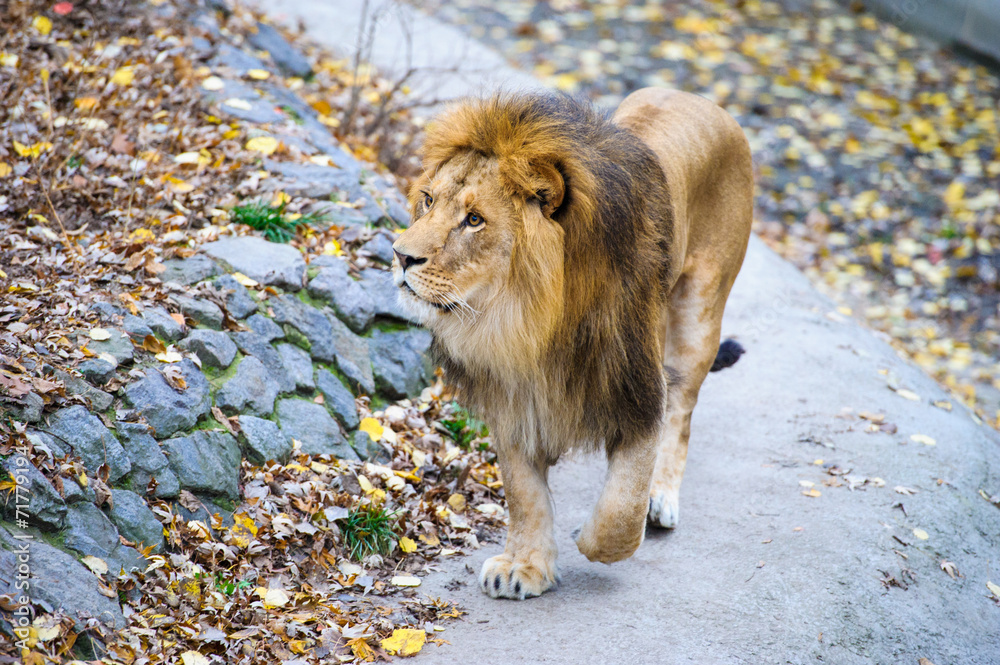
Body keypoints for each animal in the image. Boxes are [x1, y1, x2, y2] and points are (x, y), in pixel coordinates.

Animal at [391, 89, 753, 599]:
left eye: (474, 219)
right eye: (426, 201)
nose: (400, 256)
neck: (527, 321)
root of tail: (706, 103)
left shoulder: (638, 389)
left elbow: (622, 504)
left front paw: (594, 537)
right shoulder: (514, 397)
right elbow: (524, 494)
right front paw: (524, 567)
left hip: (700, 311)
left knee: (682, 410)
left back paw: (661, 497)